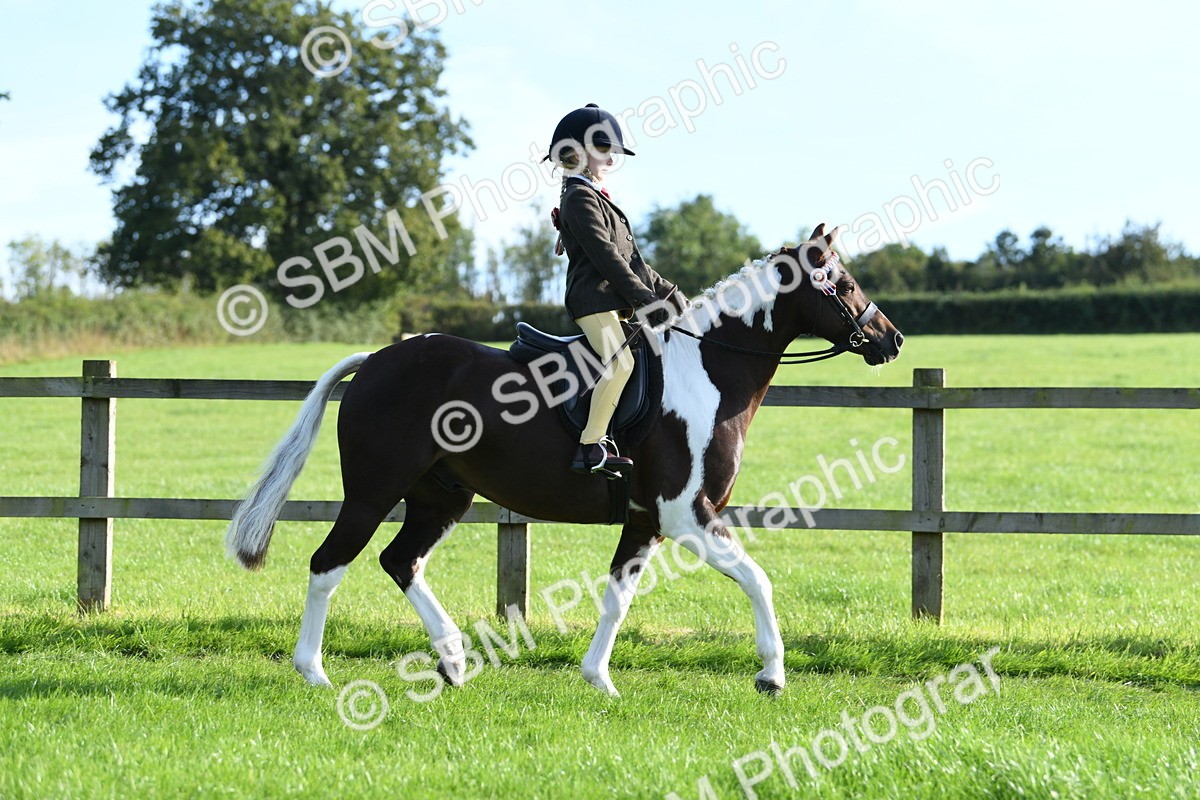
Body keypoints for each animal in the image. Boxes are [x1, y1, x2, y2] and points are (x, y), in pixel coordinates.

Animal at [225, 224, 904, 697]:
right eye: (843, 283)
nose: (891, 339)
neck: (708, 370)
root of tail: (375, 360)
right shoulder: (687, 514)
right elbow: (757, 579)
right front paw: (771, 675)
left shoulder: (647, 521)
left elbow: (618, 596)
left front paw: (598, 678)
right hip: (373, 492)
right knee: (328, 564)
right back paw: (314, 672)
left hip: (440, 496)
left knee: (402, 560)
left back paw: (453, 660)